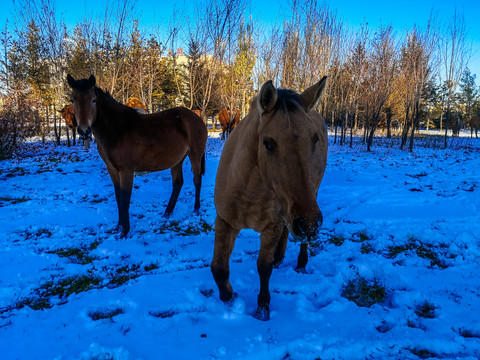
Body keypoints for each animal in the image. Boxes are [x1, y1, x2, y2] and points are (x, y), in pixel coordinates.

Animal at [67, 74, 208, 236]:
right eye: (73, 100)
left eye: (93, 100)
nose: (84, 131)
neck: (117, 129)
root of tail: (198, 118)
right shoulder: (112, 170)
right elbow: (118, 198)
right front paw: (118, 228)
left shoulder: (126, 170)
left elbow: (124, 200)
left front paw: (124, 232)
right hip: (177, 160)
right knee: (178, 183)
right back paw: (167, 212)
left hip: (195, 155)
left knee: (197, 180)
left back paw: (196, 209)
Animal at [212, 76, 328, 320]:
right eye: (268, 143)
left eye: (314, 139)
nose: (308, 224)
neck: (248, 191)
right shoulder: (224, 222)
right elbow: (219, 268)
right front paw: (230, 299)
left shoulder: (271, 226)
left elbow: (263, 268)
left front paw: (262, 308)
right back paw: (279, 257)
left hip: (309, 198)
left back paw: (300, 263)